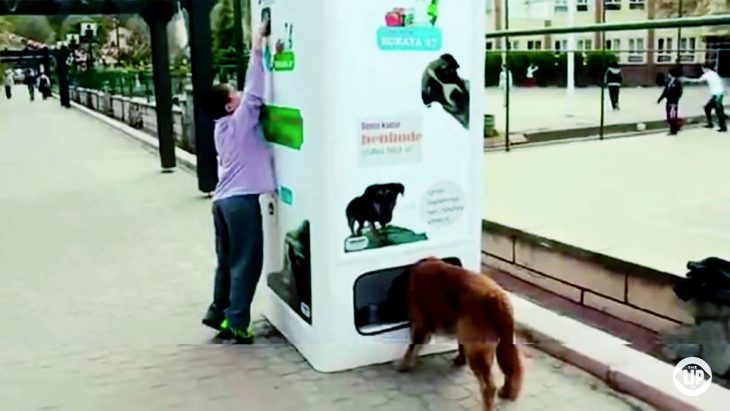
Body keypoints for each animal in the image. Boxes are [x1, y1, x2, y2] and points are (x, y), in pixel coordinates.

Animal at [396, 258, 520, 411]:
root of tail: (496, 296)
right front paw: (460, 359)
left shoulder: (421, 323)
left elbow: (412, 346)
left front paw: (404, 364)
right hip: (504, 343)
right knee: (509, 369)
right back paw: (506, 392)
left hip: (477, 350)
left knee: (489, 387)